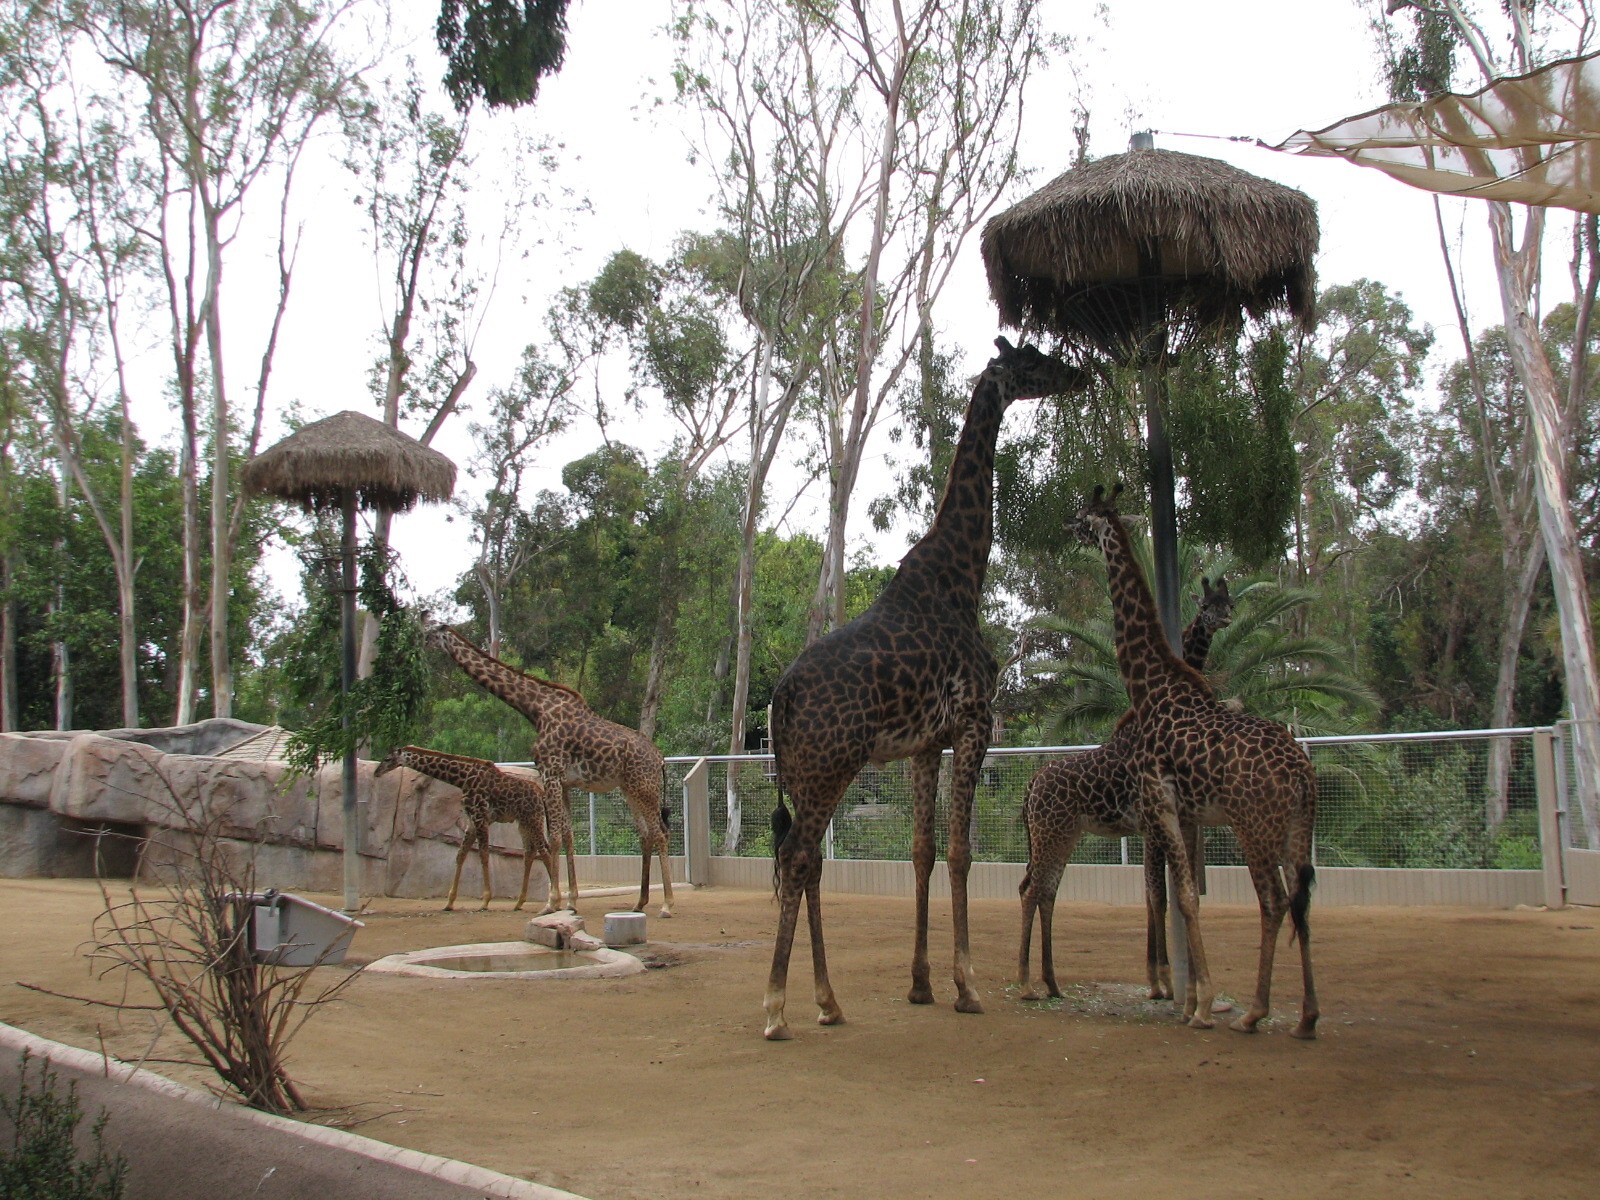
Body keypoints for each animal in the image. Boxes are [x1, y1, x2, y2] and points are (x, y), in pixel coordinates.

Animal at [375, 746, 559, 913]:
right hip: (524, 822)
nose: (376, 773)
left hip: (533, 819)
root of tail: (541, 794)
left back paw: (554, 903)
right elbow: (461, 855)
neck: (462, 778)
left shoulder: (480, 817)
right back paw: (520, 903)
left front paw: (485, 901)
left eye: (387, 758)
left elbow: (483, 855)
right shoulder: (471, 821)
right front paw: (449, 902)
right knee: (530, 853)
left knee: (544, 851)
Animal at [421, 623, 675, 917]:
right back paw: (639, 902)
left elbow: (553, 836)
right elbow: (566, 834)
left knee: (660, 833)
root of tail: (660, 758)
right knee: (647, 834)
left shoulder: (549, 773)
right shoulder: (564, 782)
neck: (536, 709)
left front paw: (551, 902)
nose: (422, 649)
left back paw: (666, 904)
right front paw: (571, 901)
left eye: (430, 635)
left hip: (645, 788)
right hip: (630, 789)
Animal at [762, 337, 1089, 1041]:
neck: (962, 575)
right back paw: (775, 1009)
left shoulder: (924, 744)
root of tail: (780, 699)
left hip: (804, 772)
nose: (1079, 373)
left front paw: (921, 984)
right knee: (799, 858)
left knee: (809, 862)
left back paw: (829, 1001)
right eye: (1035, 358)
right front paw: (966, 986)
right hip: (832, 766)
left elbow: (921, 852)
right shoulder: (974, 720)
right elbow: (961, 852)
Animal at [1017, 576, 1234, 1003]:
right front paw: (1161, 981)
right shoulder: (1151, 826)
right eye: (1206, 606)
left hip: (1061, 834)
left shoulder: (1156, 826)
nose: (1224, 619)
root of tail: (1032, 785)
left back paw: (1051, 981)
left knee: (1044, 890)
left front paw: (1163, 980)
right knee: (1034, 890)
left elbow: (1156, 894)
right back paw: (1027, 982)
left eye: (1229, 602)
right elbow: (1157, 894)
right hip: (1050, 833)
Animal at [1074, 485, 1319, 1037]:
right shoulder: (1177, 813)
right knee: (1300, 901)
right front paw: (1183, 996)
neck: (1152, 685)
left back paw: (1254, 1011)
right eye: (1212, 602)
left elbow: (1181, 896)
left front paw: (1196, 1001)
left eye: (1083, 516)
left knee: (1273, 901)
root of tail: (1302, 775)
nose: (1070, 531)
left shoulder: (1161, 804)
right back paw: (1306, 1016)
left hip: (1254, 826)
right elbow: (1177, 896)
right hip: (1297, 829)